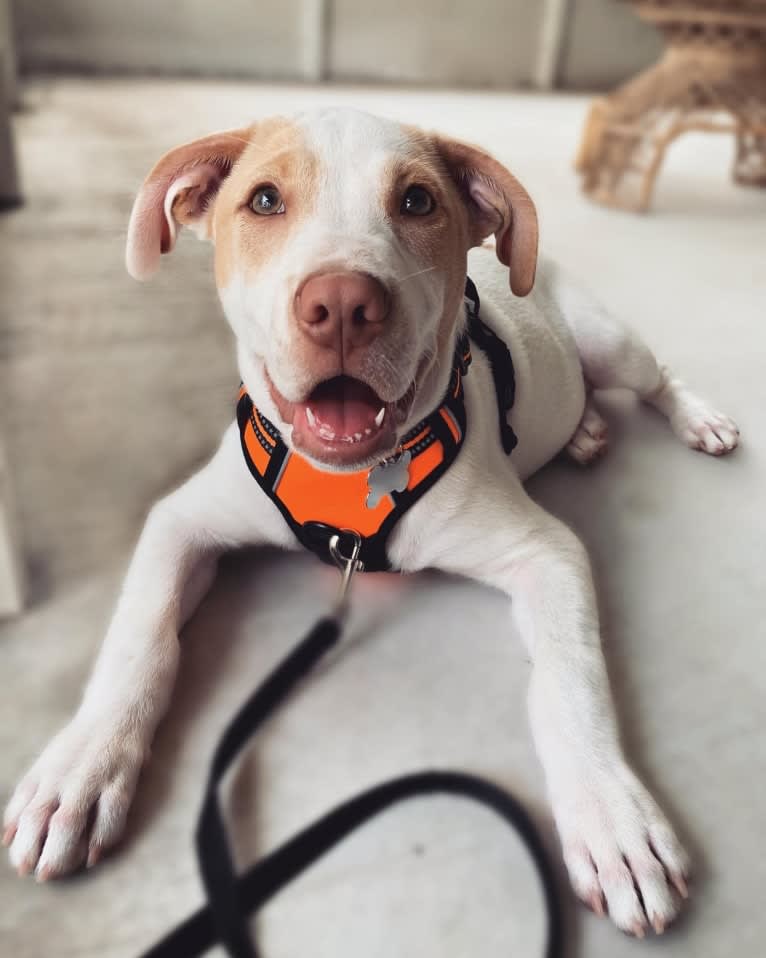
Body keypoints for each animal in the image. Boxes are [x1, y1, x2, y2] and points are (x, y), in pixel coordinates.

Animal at [3, 107, 740, 936]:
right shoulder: (182, 519)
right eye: (264, 201)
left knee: (654, 376)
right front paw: (80, 767)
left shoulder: (547, 553)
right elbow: (140, 636)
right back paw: (583, 431)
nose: (342, 306)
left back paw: (698, 419)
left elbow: (568, 682)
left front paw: (611, 817)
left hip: (609, 341)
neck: (347, 483)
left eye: (417, 202)